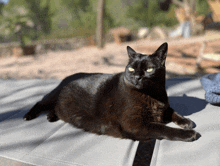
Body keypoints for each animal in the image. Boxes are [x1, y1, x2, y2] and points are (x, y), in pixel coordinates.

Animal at [23, 42, 199, 141]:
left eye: (149, 69)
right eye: (131, 69)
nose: (137, 77)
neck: (153, 95)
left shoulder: (164, 107)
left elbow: (173, 112)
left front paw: (186, 122)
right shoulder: (134, 124)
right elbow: (162, 128)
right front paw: (188, 134)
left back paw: (51, 116)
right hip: (52, 96)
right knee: (40, 102)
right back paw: (28, 116)